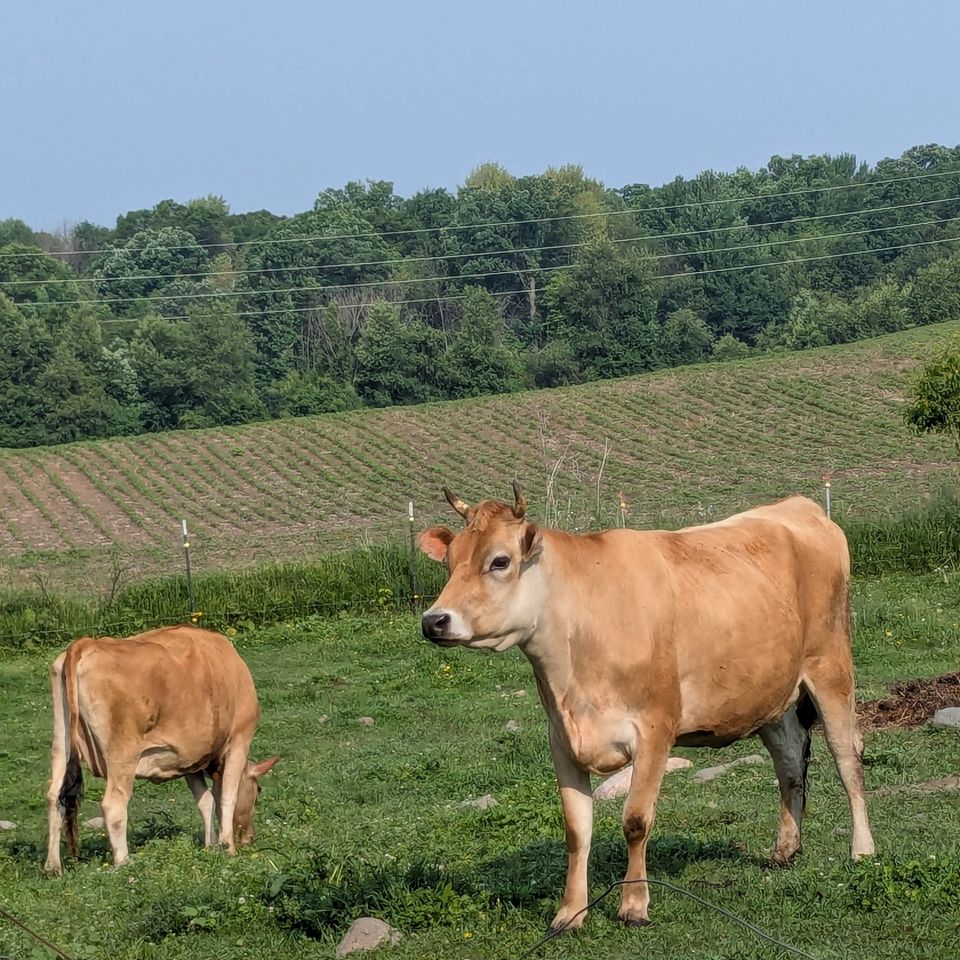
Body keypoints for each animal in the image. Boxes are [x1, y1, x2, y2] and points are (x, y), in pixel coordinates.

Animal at [44, 625, 278, 876]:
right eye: (258, 790)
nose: (249, 838)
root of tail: (86, 643)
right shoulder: (239, 740)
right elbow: (227, 796)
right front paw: (228, 847)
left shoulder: (189, 759)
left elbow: (206, 801)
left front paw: (211, 845)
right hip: (122, 754)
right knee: (114, 804)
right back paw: (124, 862)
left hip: (61, 743)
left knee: (55, 797)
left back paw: (53, 867)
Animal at [419, 484, 875, 933]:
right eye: (450, 561)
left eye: (500, 561)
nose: (433, 620)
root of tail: (799, 506)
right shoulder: (561, 739)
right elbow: (576, 830)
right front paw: (570, 912)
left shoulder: (656, 729)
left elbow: (636, 820)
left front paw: (634, 905)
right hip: (770, 694)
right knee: (790, 762)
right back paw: (785, 849)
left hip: (831, 667)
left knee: (847, 758)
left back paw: (863, 850)